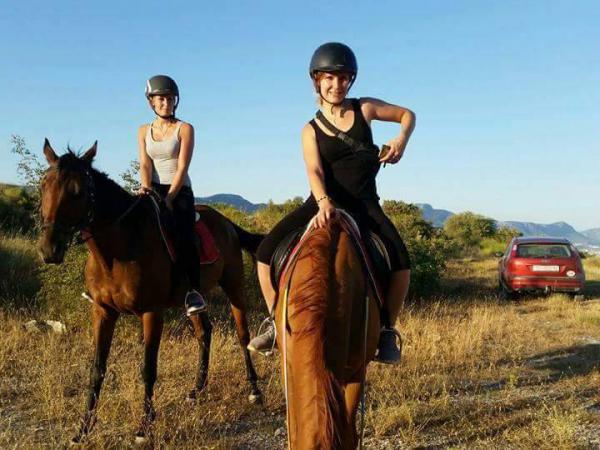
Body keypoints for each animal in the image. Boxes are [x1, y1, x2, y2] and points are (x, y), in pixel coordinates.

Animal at [37, 141, 262, 442]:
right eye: (43, 185)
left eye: (78, 192)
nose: (49, 250)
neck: (118, 250)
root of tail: (227, 223)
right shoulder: (103, 312)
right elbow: (96, 369)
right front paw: (83, 429)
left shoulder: (151, 313)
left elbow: (148, 369)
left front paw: (144, 427)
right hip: (194, 299)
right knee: (205, 332)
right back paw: (196, 390)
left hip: (234, 285)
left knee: (242, 334)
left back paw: (254, 390)